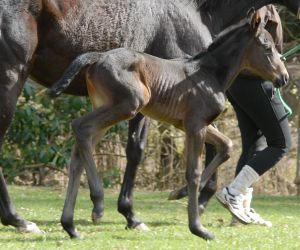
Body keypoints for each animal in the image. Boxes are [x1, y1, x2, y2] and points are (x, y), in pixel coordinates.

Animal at [0, 0, 298, 234]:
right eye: (267, 45)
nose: (283, 77)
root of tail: (95, 57)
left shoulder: (189, 123)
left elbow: (225, 146)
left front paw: (165, 200)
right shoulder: (194, 124)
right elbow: (188, 165)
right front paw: (192, 214)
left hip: (106, 107)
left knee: (78, 147)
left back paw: (68, 222)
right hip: (117, 101)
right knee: (78, 129)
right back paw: (51, 213)